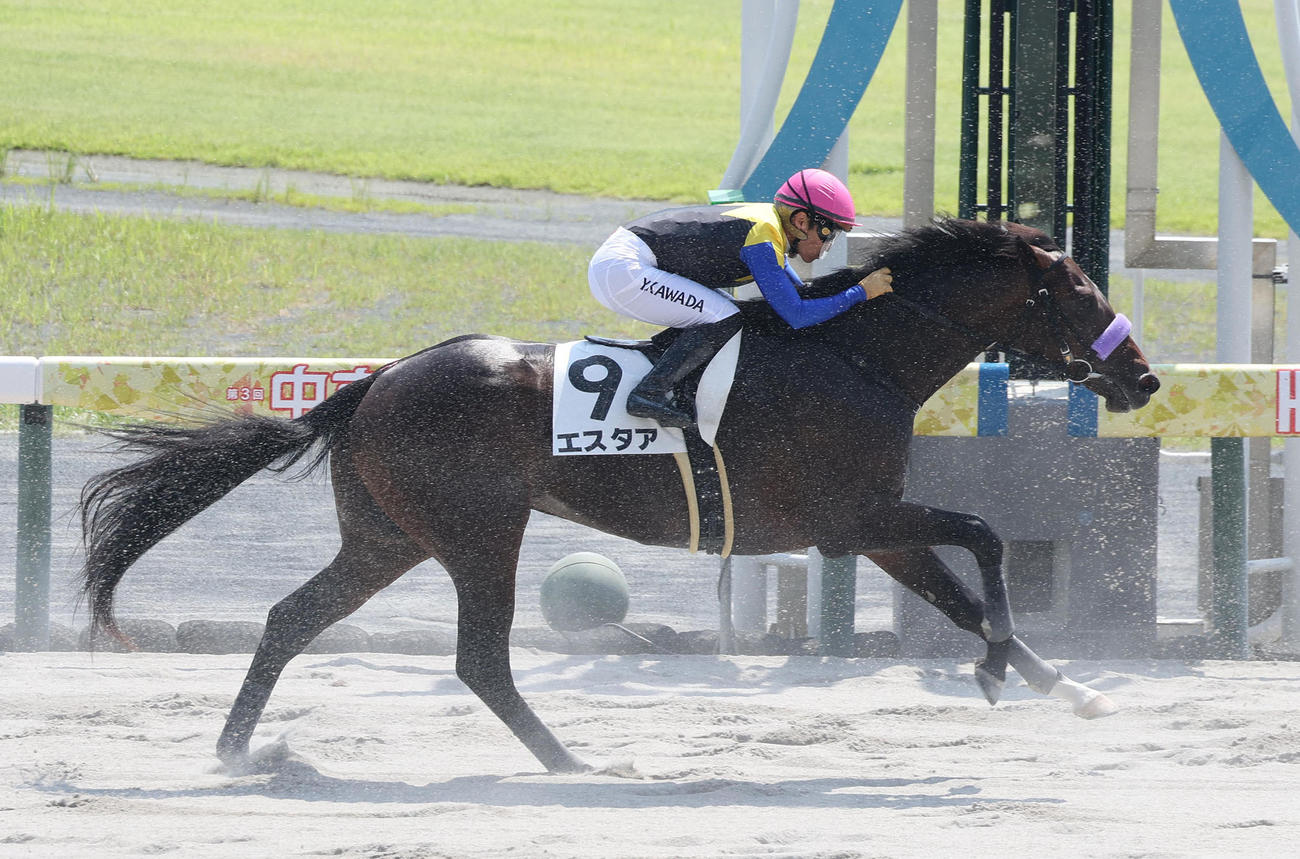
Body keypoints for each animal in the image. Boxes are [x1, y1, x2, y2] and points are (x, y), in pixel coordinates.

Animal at [79, 218, 1160, 774]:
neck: (857, 355)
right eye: (1079, 294)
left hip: (389, 536)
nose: (1144, 377)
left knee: (291, 617)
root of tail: (374, 382)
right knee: (478, 658)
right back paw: (572, 765)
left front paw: (1077, 690)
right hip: (480, 531)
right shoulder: (849, 520)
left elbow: (969, 590)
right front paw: (996, 671)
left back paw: (235, 751)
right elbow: (984, 539)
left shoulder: (871, 529)